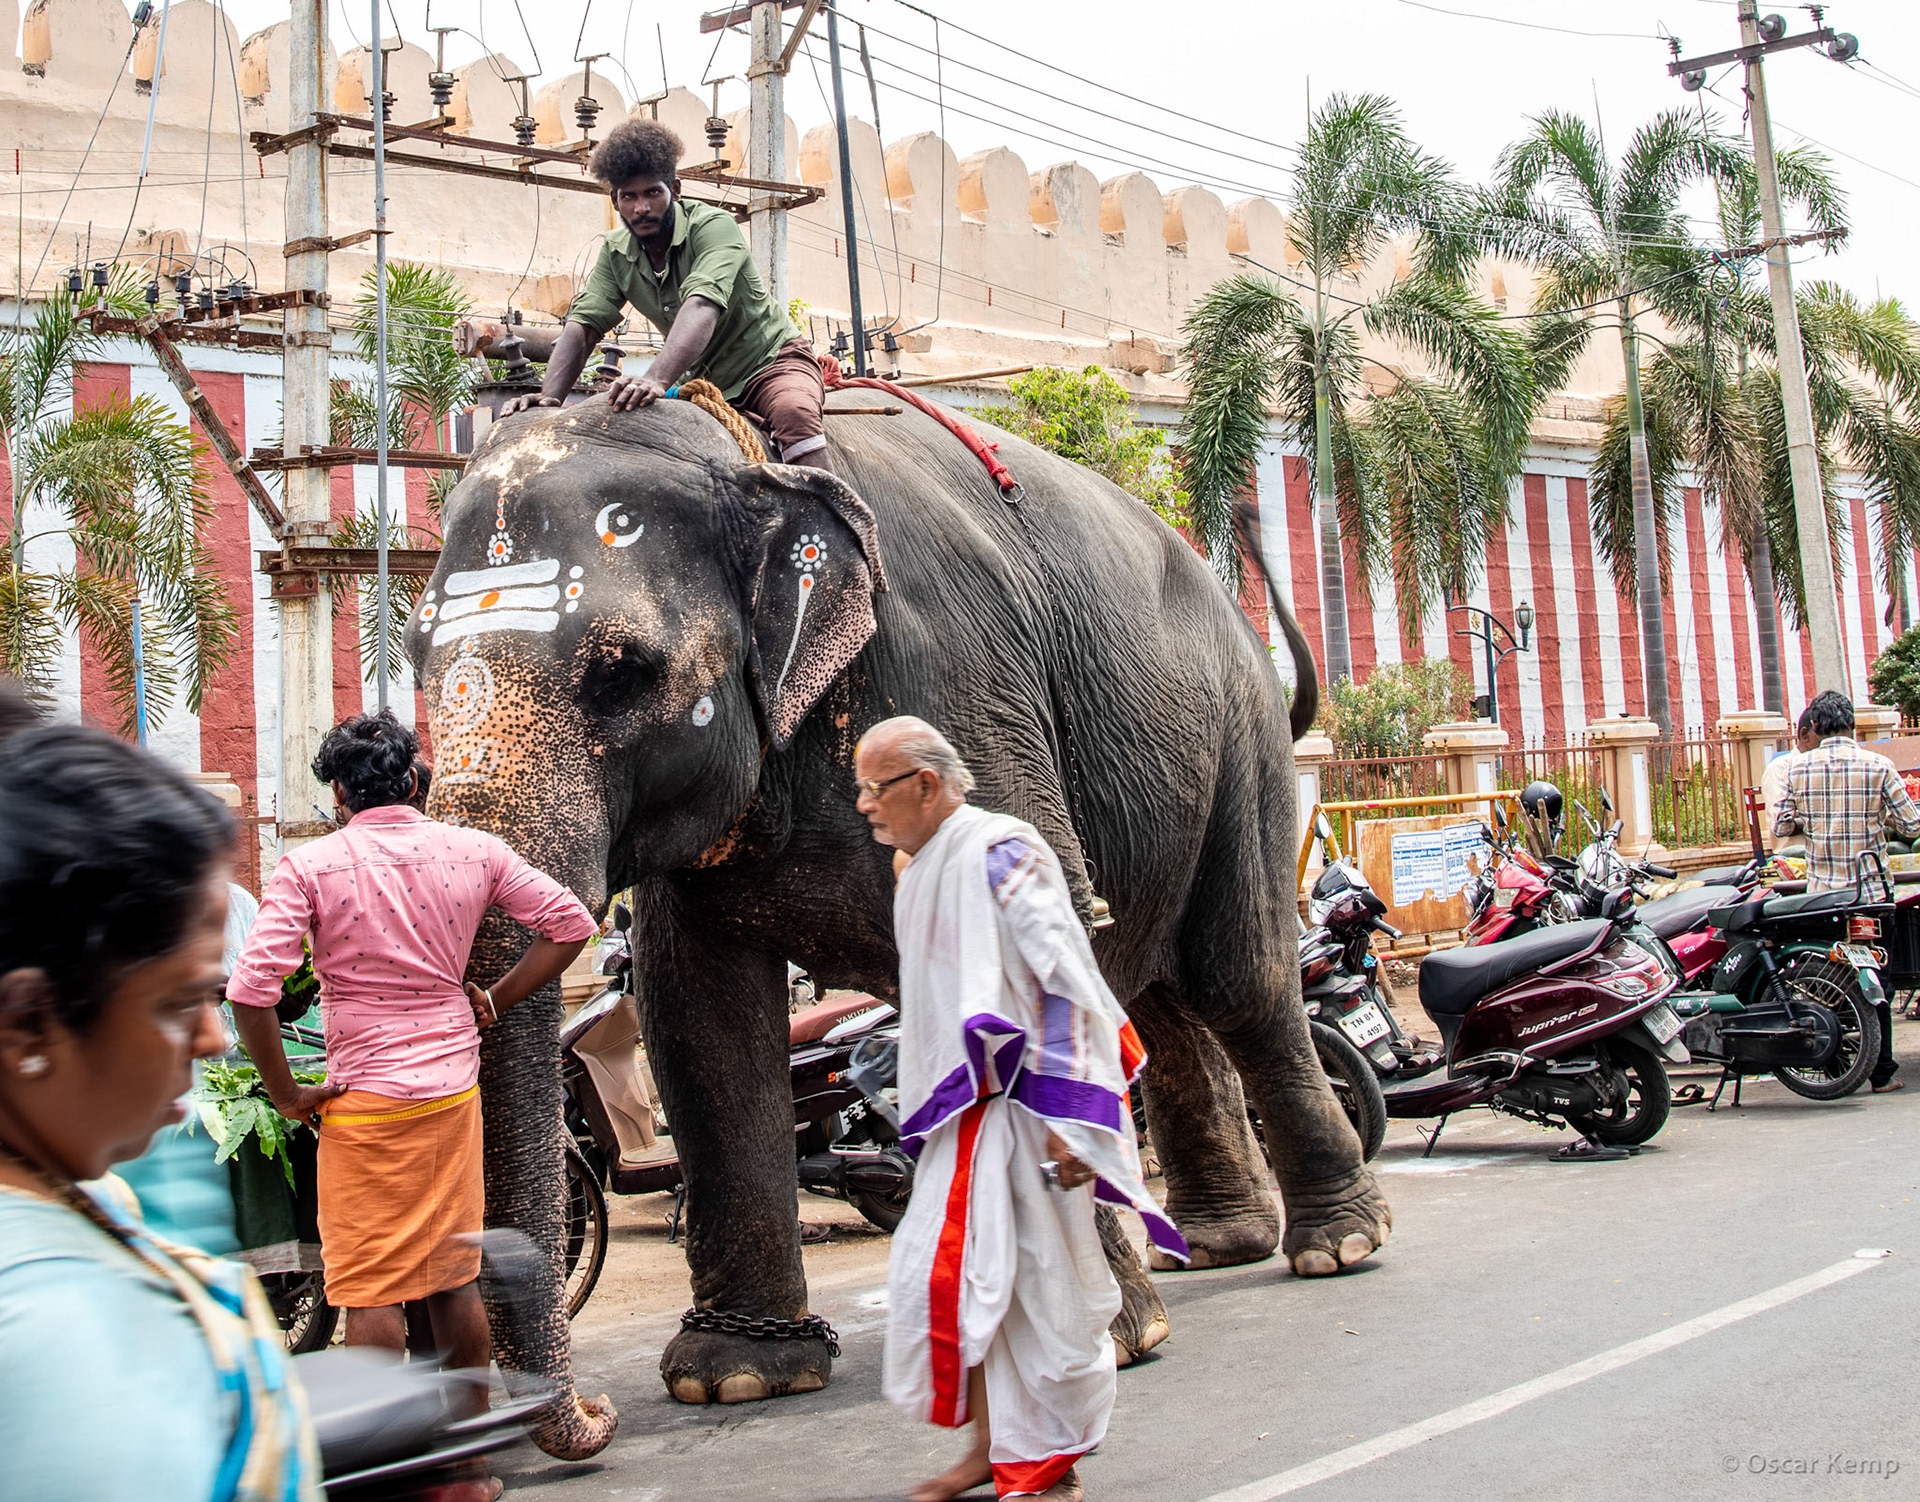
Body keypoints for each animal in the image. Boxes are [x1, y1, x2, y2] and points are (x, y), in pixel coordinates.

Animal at [410, 389, 1392, 1456]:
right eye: (415, 661)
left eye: (622, 672)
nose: (594, 1415)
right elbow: (699, 1020)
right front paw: (735, 1377)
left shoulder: (958, 694)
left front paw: (1094, 1347)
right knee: (1154, 997)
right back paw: (1215, 1246)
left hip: (1240, 749)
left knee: (1238, 980)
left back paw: (1337, 1246)